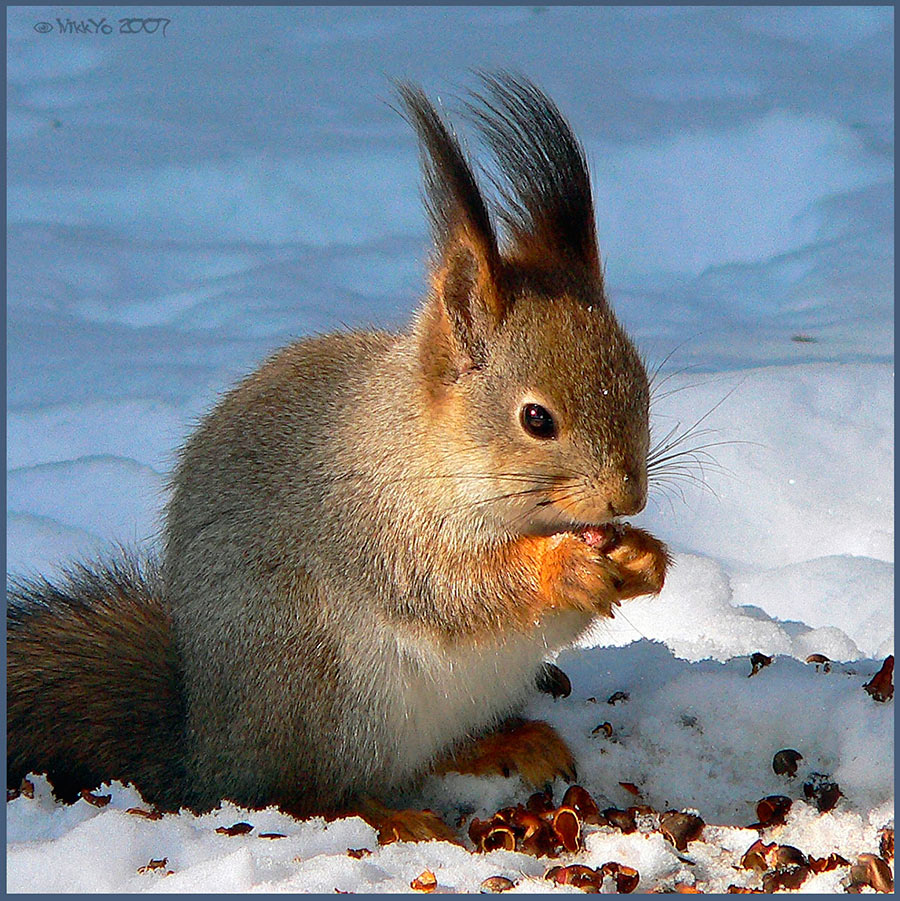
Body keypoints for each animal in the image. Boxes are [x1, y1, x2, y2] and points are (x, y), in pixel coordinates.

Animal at [5, 77, 668, 828]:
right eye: (536, 419)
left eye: (641, 384)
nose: (628, 496)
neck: (428, 448)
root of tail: (206, 749)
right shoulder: (379, 524)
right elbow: (456, 588)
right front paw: (566, 566)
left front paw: (646, 555)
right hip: (325, 692)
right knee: (301, 794)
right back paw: (387, 815)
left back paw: (506, 742)